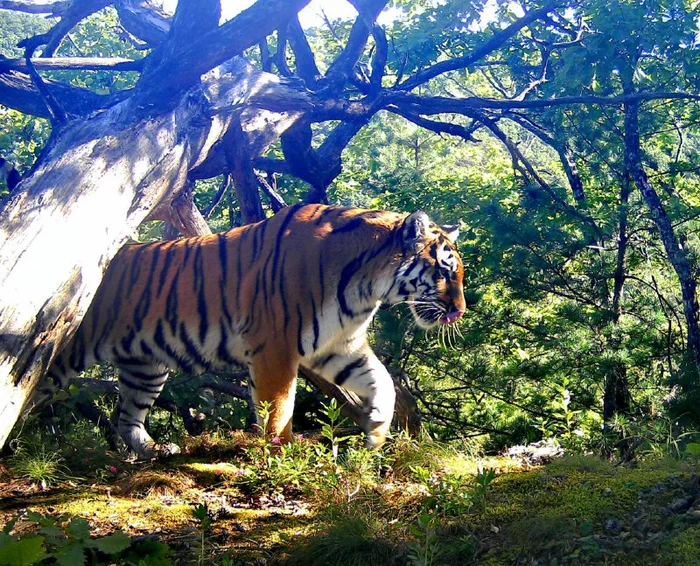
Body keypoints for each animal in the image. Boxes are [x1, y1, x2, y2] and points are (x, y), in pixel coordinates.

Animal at [42, 205, 464, 462]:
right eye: (444, 271)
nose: (460, 310)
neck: (368, 285)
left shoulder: (338, 345)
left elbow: (384, 382)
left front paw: (376, 429)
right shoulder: (275, 346)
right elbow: (279, 405)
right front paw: (282, 451)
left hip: (144, 367)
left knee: (126, 416)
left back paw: (156, 450)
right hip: (59, 358)